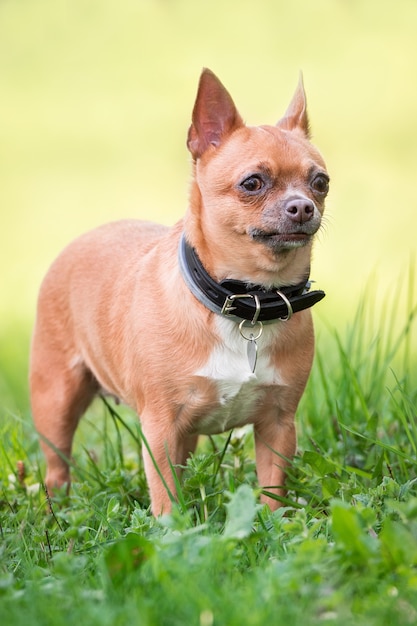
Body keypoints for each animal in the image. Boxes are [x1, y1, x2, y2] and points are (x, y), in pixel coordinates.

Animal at [29, 70, 328, 516]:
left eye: (320, 182)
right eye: (252, 183)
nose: (303, 206)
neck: (247, 302)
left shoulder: (278, 424)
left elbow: (272, 491)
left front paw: (275, 526)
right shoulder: (161, 427)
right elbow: (166, 498)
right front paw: (174, 531)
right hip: (56, 403)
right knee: (56, 468)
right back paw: (57, 512)